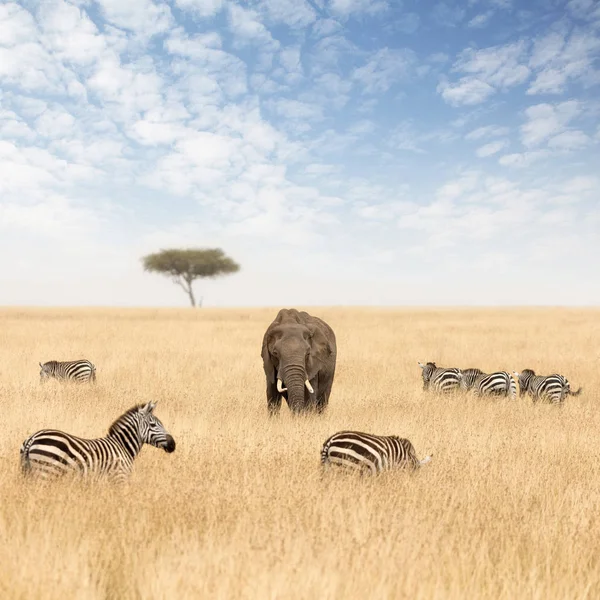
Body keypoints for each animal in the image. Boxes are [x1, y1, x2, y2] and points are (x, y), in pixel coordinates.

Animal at [19, 404, 175, 482]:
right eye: (153, 425)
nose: (173, 444)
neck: (122, 446)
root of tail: (33, 437)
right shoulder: (119, 477)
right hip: (46, 473)